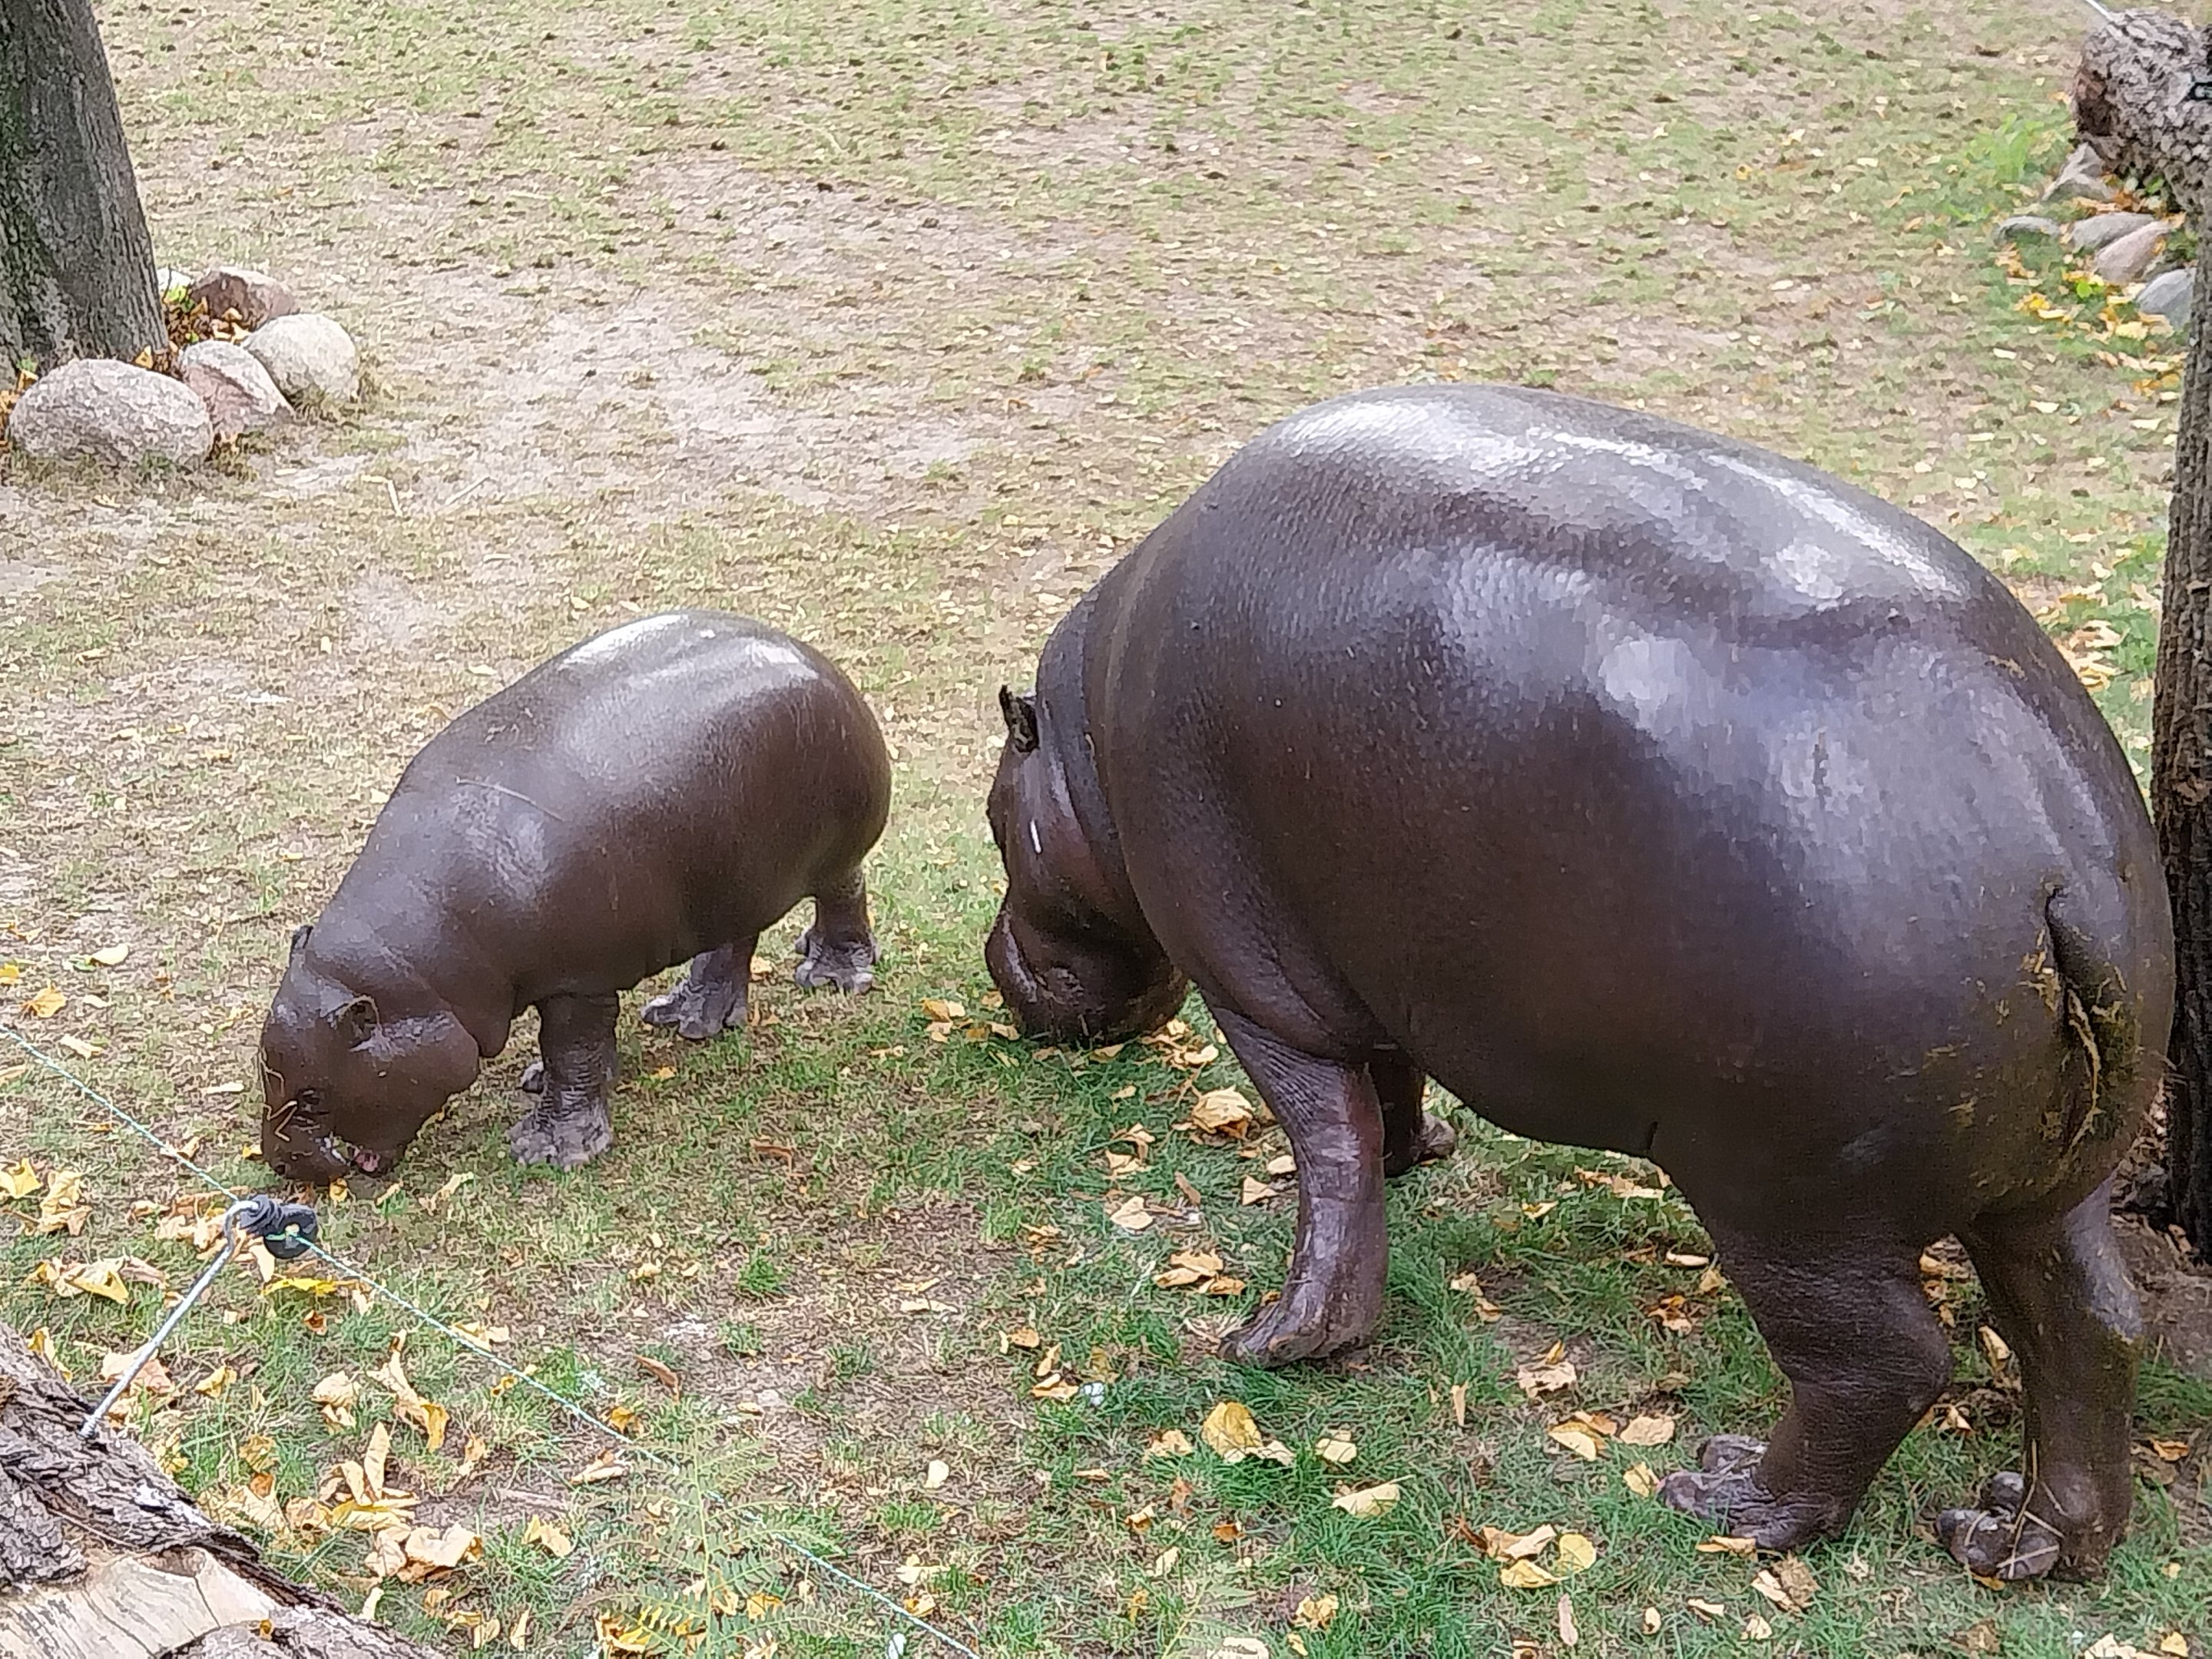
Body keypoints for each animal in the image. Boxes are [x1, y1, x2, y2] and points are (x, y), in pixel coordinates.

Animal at [261, 610, 889, 1180]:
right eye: (265, 1063)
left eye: (314, 1095)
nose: (280, 1164)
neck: (416, 980)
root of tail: (818, 659)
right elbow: (577, 1049)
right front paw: (547, 1081)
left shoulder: (578, 980)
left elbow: (572, 1048)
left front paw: (547, 1150)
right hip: (732, 876)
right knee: (733, 942)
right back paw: (687, 1017)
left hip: (830, 851)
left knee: (843, 893)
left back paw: (832, 977)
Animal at [984, 385, 2170, 1582]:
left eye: (995, 814)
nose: (1004, 976)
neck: (1082, 750)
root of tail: (2055, 853)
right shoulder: (1375, 959)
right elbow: (1389, 1083)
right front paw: (1422, 1154)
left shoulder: (1261, 989)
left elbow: (1331, 1150)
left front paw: (1275, 1343)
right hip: (2050, 1180)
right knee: (2091, 1328)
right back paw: (2015, 1539)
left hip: (1789, 1200)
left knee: (1887, 1363)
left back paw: (1728, 1497)